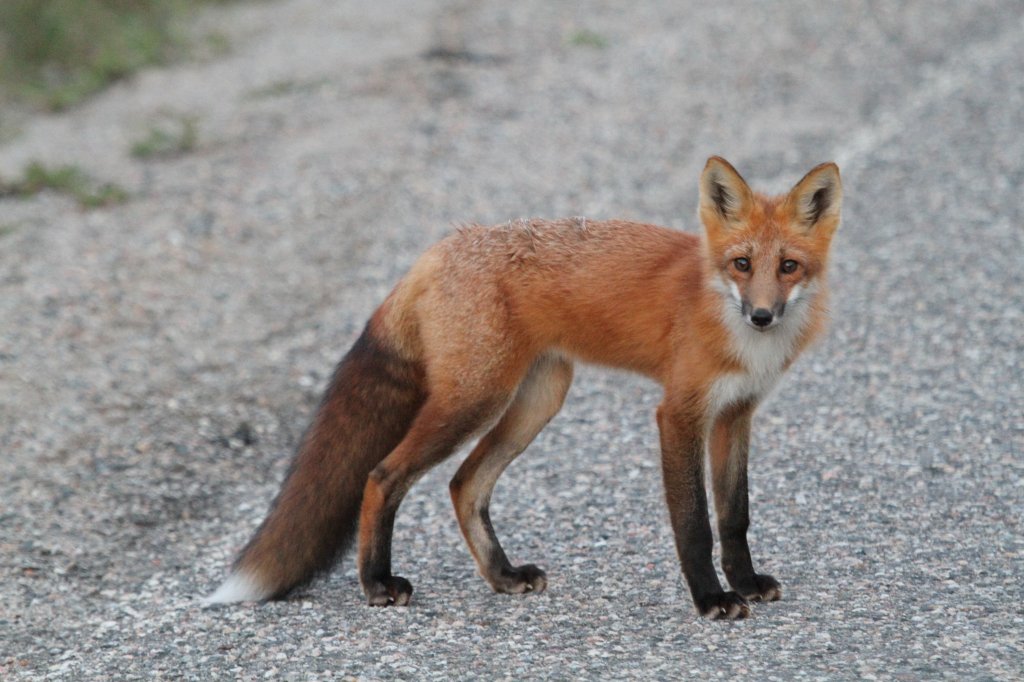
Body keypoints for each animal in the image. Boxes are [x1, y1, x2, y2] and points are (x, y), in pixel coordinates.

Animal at [205, 156, 839, 618]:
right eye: (740, 264)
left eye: (787, 267)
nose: (762, 316)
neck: (733, 329)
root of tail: (445, 245)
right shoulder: (679, 414)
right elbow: (695, 524)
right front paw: (711, 599)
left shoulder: (735, 415)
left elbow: (734, 516)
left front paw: (746, 583)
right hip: (474, 399)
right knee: (382, 476)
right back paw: (377, 583)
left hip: (537, 400)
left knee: (463, 484)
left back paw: (502, 576)